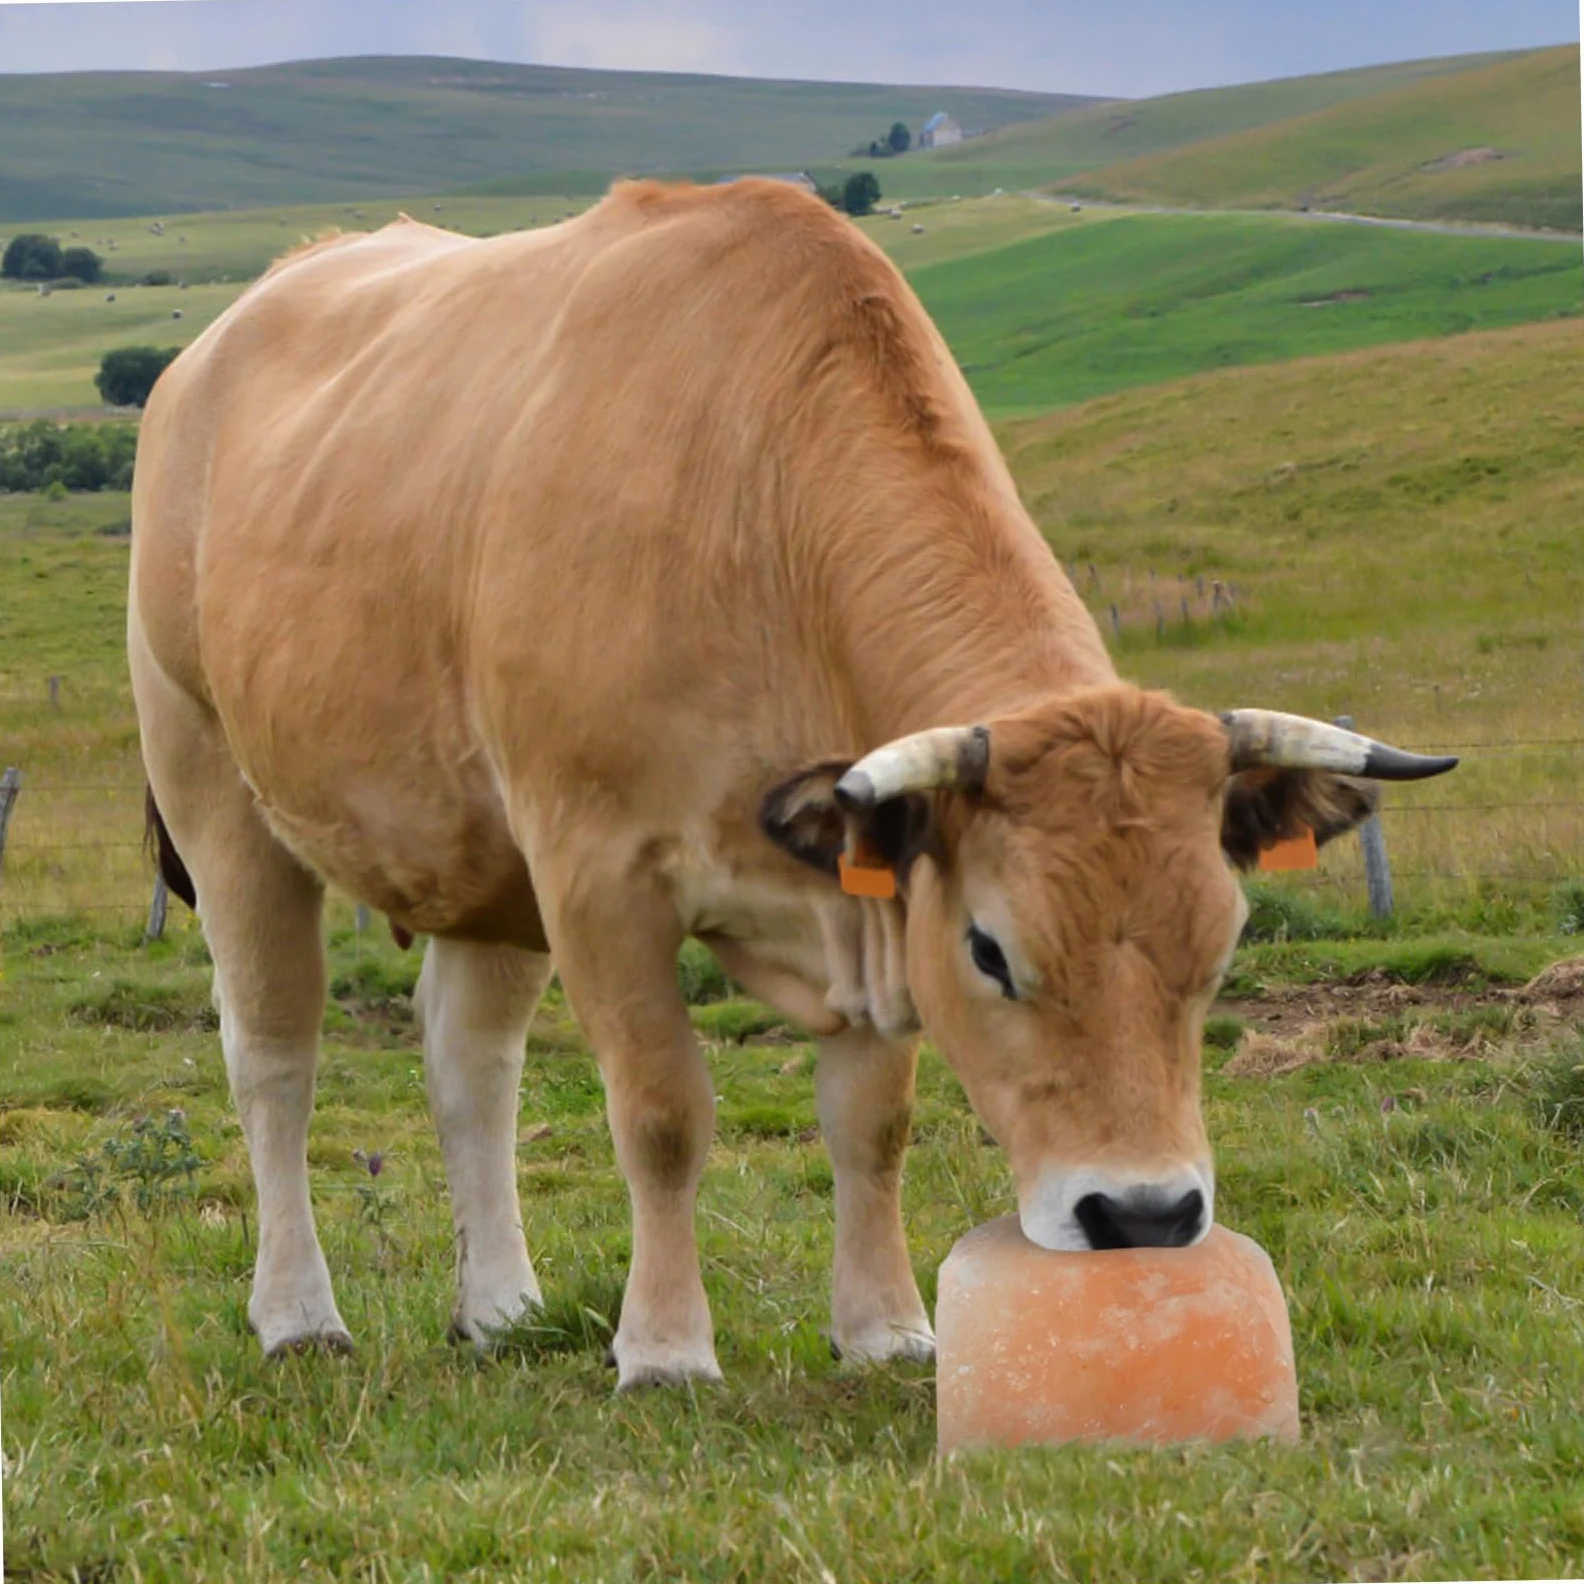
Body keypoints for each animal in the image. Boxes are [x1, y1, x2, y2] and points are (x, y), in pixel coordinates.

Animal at [128, 178, 1456, 1388]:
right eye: (992, 951)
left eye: (1221, 947)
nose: (1142, 1217)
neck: (755, 516)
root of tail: (228, 328)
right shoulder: (597, 872)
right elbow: (663, 1116)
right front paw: (665, 1348)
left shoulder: (865, 885)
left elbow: (872, 1125)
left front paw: (882, 1330)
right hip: (220, 795)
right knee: (275, 1057)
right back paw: (299, 1315)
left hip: (477, 856)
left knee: (470, 1064)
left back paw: (500, 1307)